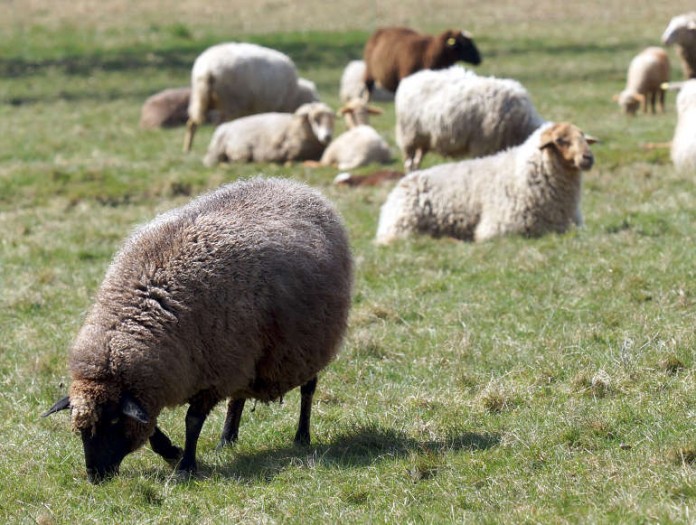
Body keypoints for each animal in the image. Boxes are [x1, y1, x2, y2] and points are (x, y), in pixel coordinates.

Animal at [42, 178, 354, 482]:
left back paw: (302, 436)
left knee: (308, 390)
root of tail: (296, 186)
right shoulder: (162, 380)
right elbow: (151, 426)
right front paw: (171, 451)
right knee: (238, 397)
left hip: (309, 343)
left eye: (115, 420)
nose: (95, 476)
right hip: (245, 354)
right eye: (80, 427)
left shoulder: (211, 374)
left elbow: (192, 422)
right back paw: (227, 439)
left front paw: (185, 466)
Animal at [182, 42, 318, 151]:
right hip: (228, 102)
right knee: (218, 124)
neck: (296, 94)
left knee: (192, 123)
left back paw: (187, 149)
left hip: (199, 99)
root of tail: (207, 69)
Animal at [201, 101, 334, 167]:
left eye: (331, 120)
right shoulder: (293, 150)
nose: (327, 136)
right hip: (240, 152)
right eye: (315, 119)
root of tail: (223, 128)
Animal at [376, 122, 600, 244]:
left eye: (583, 137)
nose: (588, 158)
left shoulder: (569, 227)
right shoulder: (500, 228)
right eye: (561, 140)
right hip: (404, 228)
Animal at [394, 65, 548, 172]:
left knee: (417, 161)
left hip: (424, 140)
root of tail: (410, 79)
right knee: (409, 163)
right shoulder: (483, 146)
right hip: (409, 136)